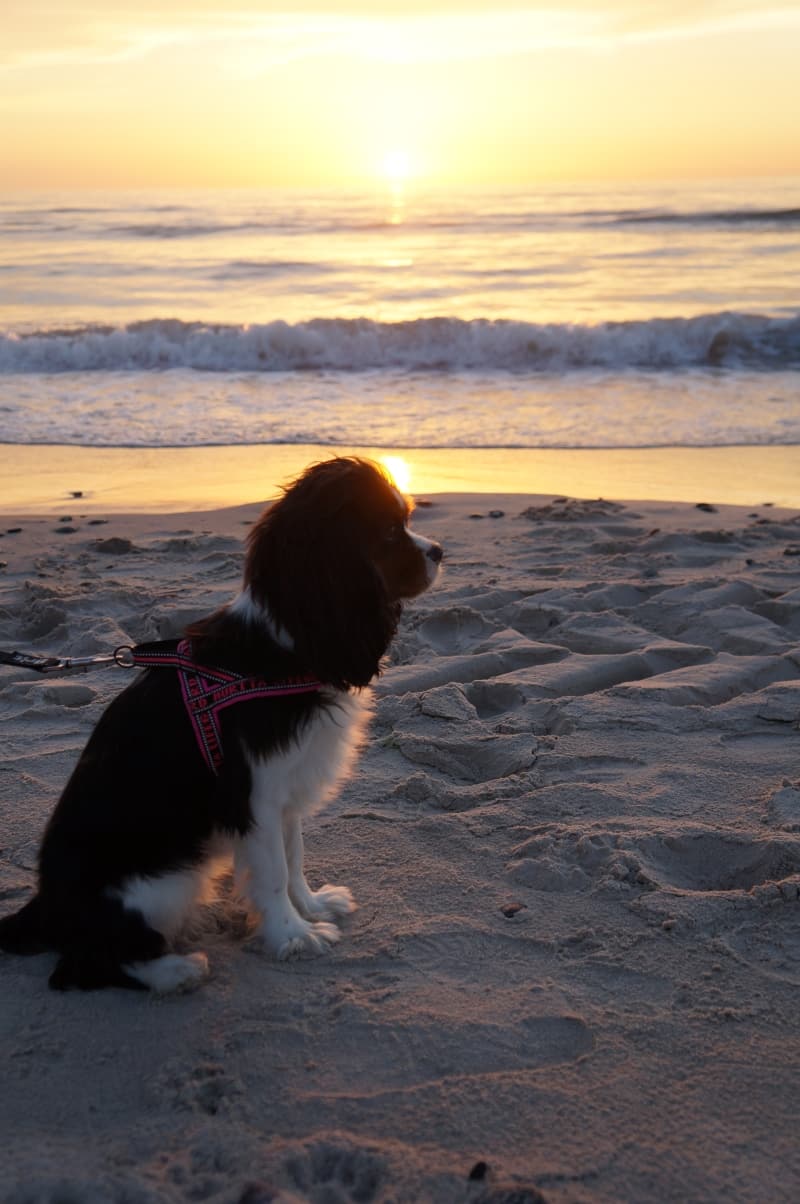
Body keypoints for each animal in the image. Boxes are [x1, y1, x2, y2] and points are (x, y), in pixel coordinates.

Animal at [0, 455, 443, 992]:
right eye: (390, 532)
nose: (439, 552)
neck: (284, 647)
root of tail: (45, 905)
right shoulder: (253, 796)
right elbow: (273, 871)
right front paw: (292, 936)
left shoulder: (285, 789)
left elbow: (294, 856)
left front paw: (312, 906)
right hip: (165, 881)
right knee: (85, 964)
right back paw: (177, 971)